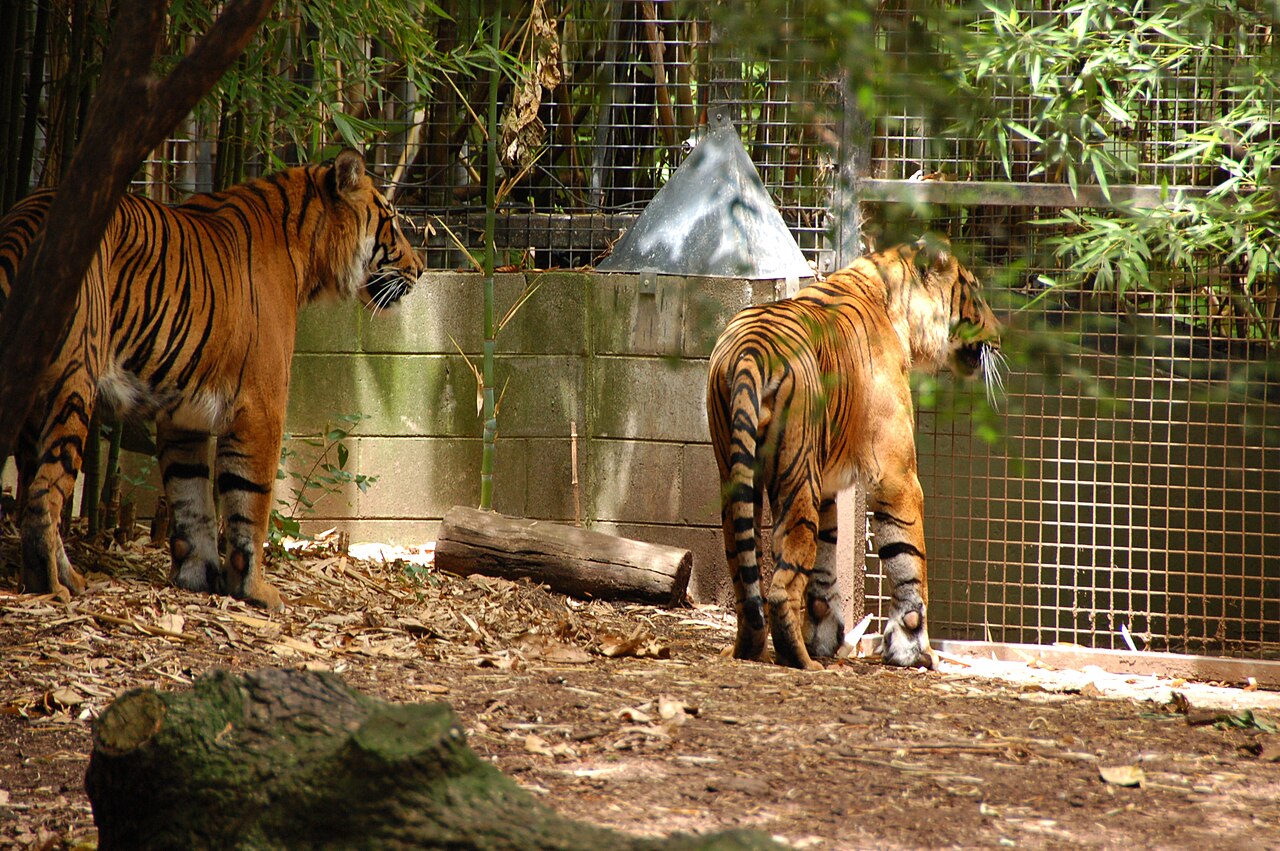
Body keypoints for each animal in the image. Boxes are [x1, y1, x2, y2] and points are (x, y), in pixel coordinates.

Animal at [0, 148, 423, 608]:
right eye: (392, 222)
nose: (421, 270)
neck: (308, 250)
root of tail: (22, 221)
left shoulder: (183, 416)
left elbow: (191, 499)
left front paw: (197, 575)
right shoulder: (261, 406)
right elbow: (249, 504)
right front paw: (254, 589)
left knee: (32, 487)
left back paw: (61, 577)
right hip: (73, 384)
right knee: (44, 494)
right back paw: (52, 583)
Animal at [706, 235, 1003, 670]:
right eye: (976, 296)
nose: (1001, 337)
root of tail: (750, 350)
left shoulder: (829, 485)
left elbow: (825, 561)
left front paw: (824, 633)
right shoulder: (895, 475)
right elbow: (907, 558)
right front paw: (914, 649)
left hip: (733, 473)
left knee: (747, 577)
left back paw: (747, 649)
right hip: (797, 476)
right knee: (782, 585)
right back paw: (801, 661)